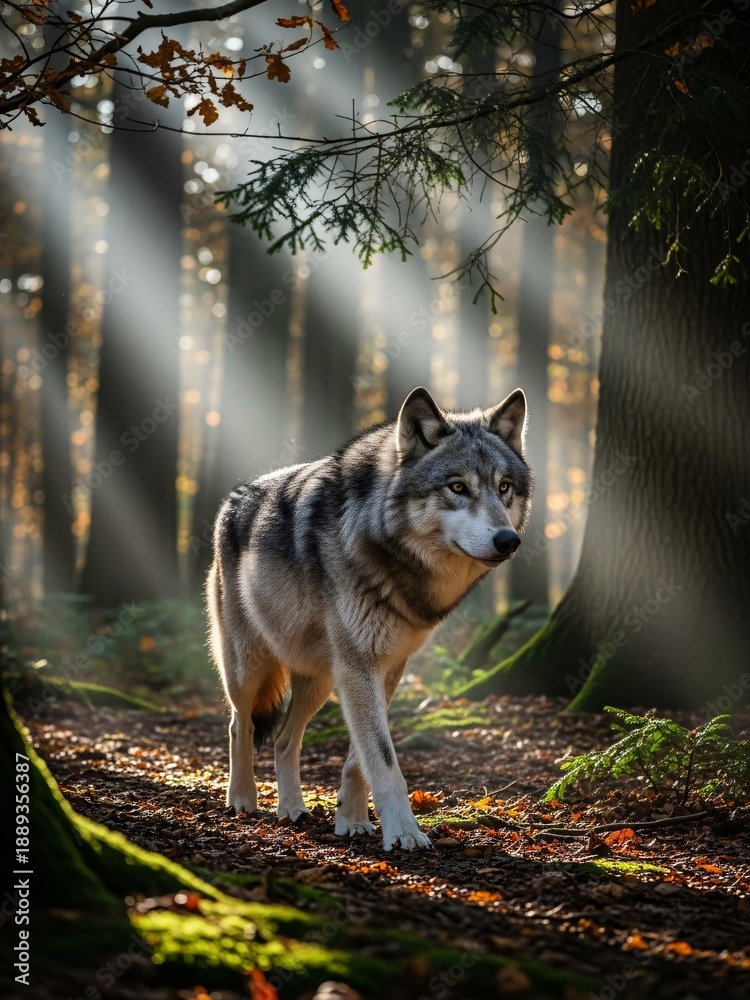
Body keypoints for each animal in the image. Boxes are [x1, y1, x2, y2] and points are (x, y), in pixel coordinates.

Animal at [207, 386, 532, 850]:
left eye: (504, 488)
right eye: (457, 487)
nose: (509, 540)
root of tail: (230, 501)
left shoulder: (386, 666)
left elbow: (361, 758)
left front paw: (353, 819)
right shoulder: (359, 667)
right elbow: (383, 758)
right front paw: (405, 832)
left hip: (319, 680)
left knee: (285, 739)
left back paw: (292, 809)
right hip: (247, 667)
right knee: (241, 725)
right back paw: (242, 798)